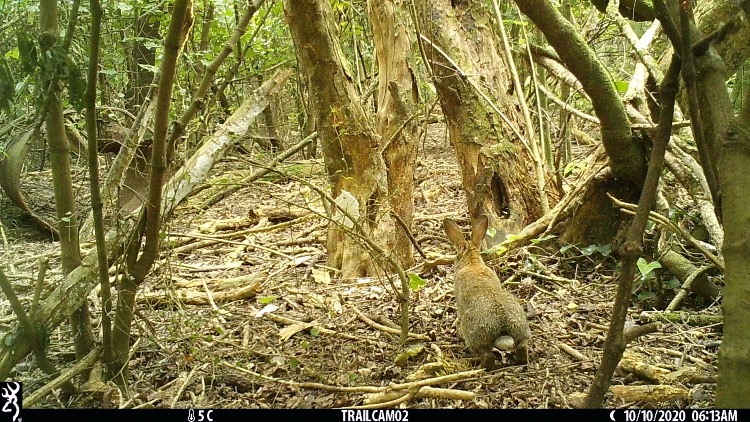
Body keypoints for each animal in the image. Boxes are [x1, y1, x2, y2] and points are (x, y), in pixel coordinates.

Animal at [444, 216, 532, 368]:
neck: (472, 262)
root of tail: (503, 327)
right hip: (521, 330)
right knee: (522, 346)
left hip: (475, 335)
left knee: (487, 356)